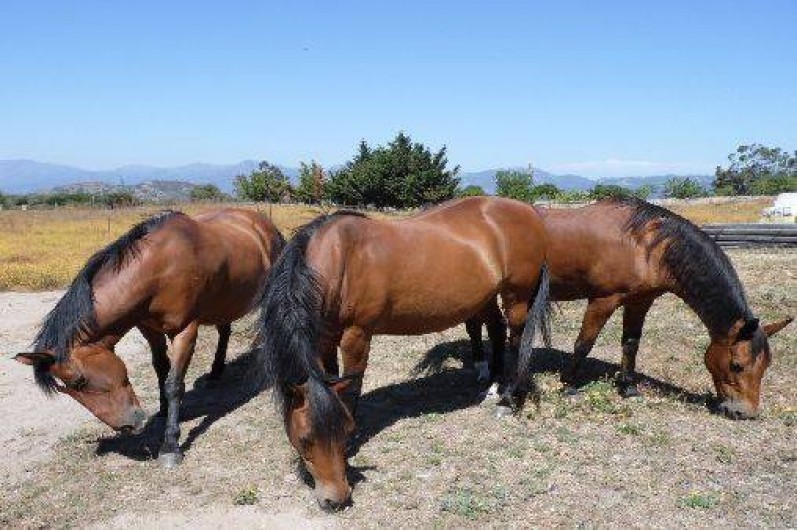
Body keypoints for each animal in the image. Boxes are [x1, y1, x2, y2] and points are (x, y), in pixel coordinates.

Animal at [14, 208, 284, 467]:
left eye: (79, 381)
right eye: (67, 390)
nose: (128, 426)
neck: (159, 267)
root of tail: (263, 223)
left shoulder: (184, 331)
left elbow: (174, 383)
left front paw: (170, 445)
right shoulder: (149, 328)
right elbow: (161, 369)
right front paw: (164, 410)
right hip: (222, 303)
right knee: (224, 331)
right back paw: (216, 372)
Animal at [254, 196, 551, 511]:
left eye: (344, 432)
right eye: (304, 439)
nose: (336, 499)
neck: (338, 259)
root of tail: (529, 212)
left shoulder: (357, 335)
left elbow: (352, 388)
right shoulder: (324, 339)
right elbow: (333, 380)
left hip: (517, 296)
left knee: (516, 340)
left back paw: (508, 398)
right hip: (487, 297)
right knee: (495, 329)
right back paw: (493, 386)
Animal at [466, 198, 792, 419]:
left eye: (766, 366)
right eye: (737, 365)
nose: (745, 412)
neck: (644, 245)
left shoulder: (640, 301)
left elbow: (631, 344)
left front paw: (629, 388)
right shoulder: (603, 299)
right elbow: (584, 343)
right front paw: (569, 385)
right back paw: (488, 377)